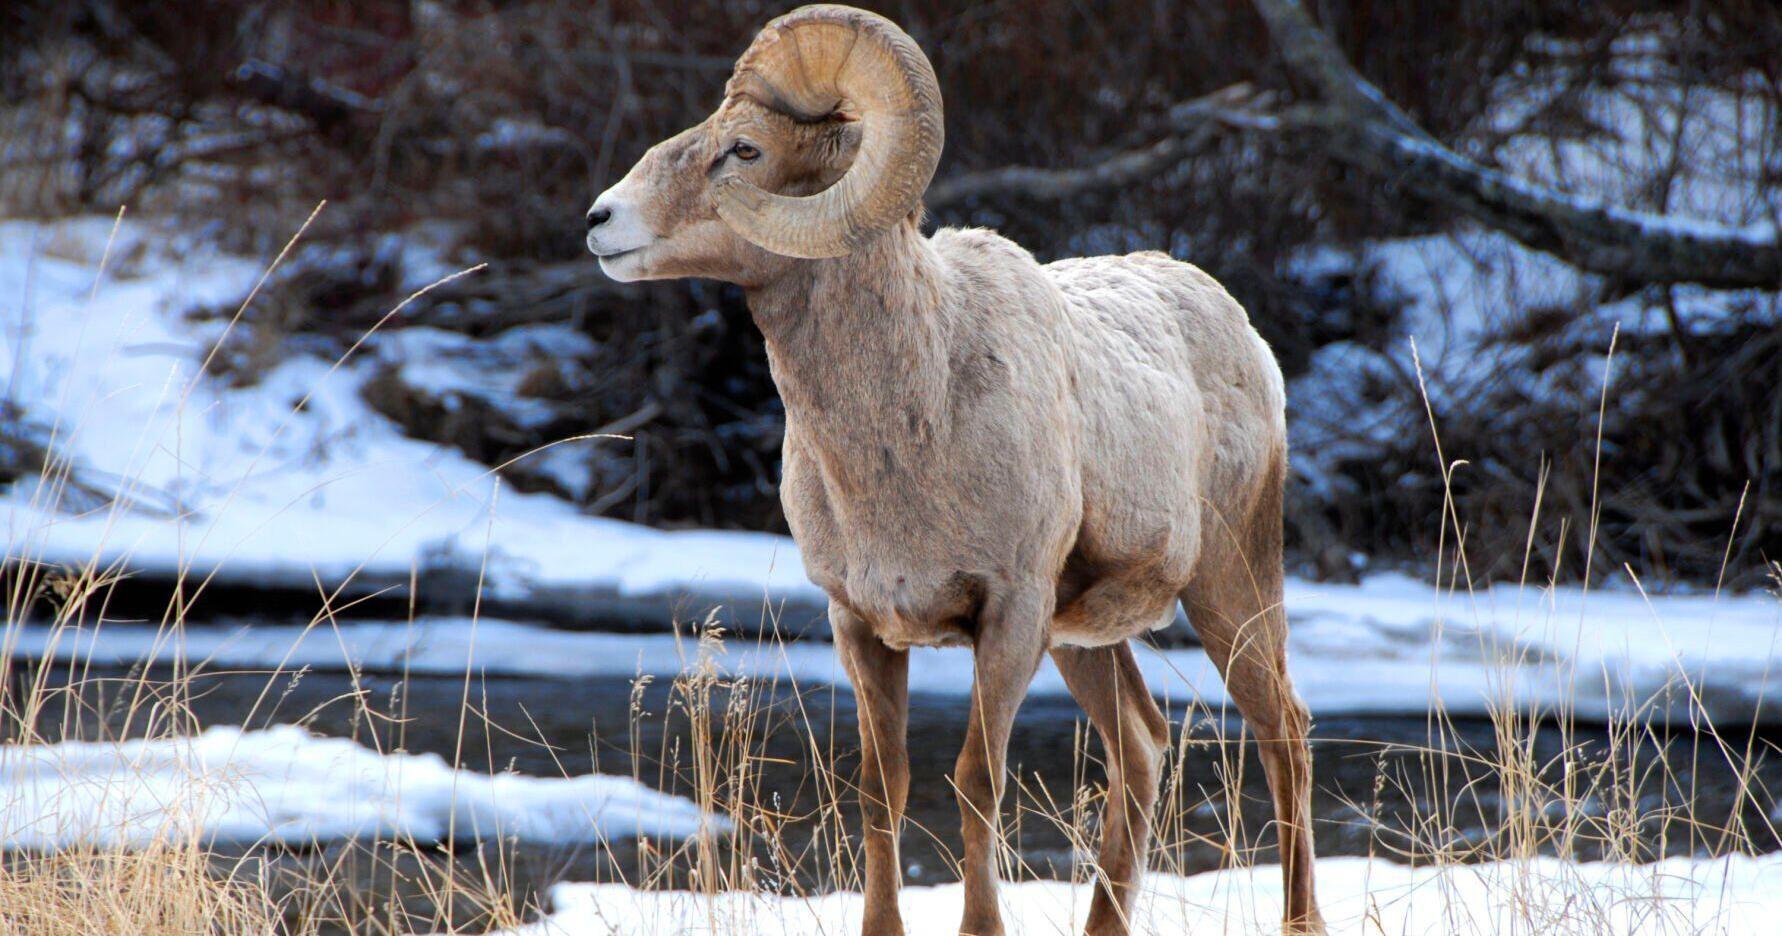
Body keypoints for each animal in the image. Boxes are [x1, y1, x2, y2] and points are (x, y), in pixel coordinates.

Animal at [583, 6, 1324, 934]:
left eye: (744, 150)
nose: (600, 220)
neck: (911, 427)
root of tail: (1244, 334)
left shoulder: (1007, 618)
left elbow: (976, 785)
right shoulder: (860, 627)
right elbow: (882, 792)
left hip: (1229, 589)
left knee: (1282, 731)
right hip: (1084, 640)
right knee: (1144, 747)